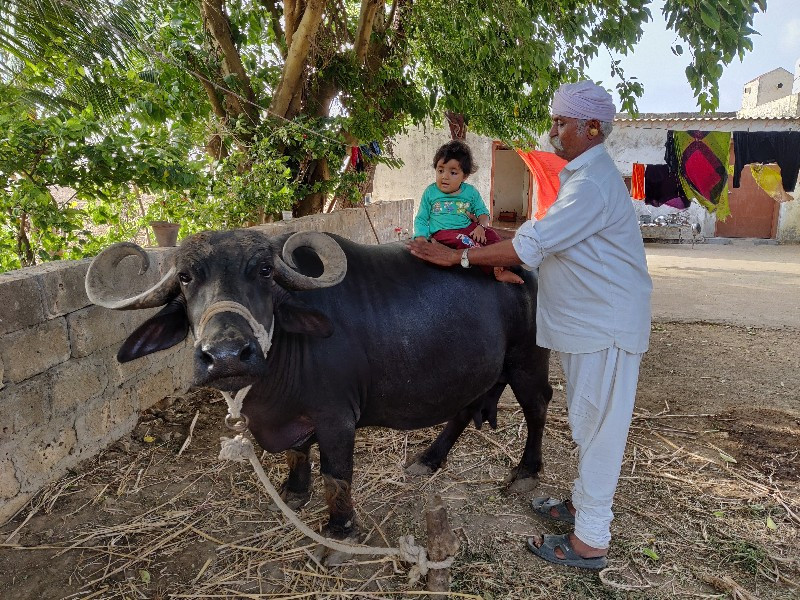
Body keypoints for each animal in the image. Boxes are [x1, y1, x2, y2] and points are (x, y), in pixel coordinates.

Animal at [86, 230, 552, 540]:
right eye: (184, 277)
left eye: (265, 271)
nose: (226, 355)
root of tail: (524, 274)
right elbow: (297, 453)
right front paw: (294, 493)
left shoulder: (337, 419)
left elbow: (336, 474)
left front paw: (339, 527)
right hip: (481, 369)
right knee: (466, 406)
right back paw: (428, 458)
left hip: (529, 361)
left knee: (538, 406)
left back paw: (525, 472)